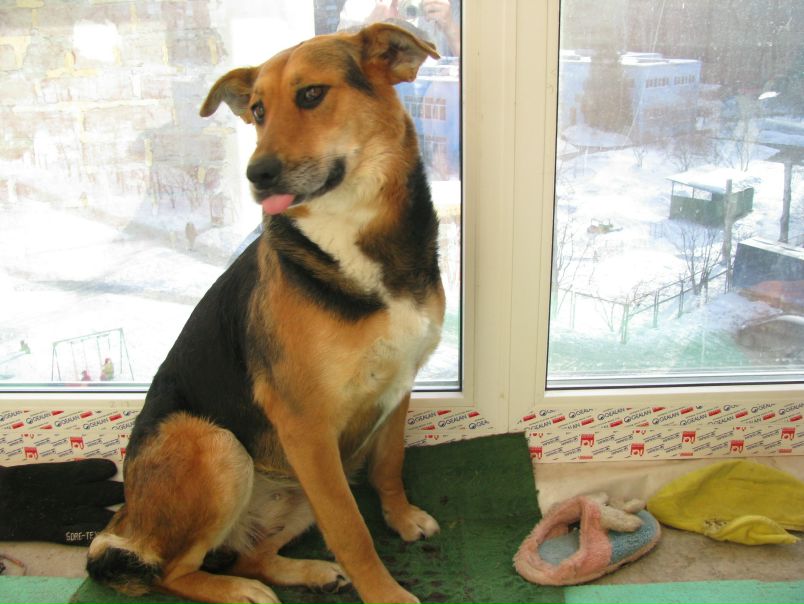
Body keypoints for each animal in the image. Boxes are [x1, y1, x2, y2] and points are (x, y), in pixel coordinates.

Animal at [86, 23, 444, 604]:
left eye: (311, 94)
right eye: (257, 111)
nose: (257, 175)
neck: (349, 236)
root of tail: (128, 521)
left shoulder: (399, 387)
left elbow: (390, 465)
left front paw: (402, 518)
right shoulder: (307, 426)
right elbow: (351, 529)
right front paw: (385, 593)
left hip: (297, 487)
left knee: (251, 553)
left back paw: (308, 572)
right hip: (220, 446)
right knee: (172, 572)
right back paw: (238, 591)